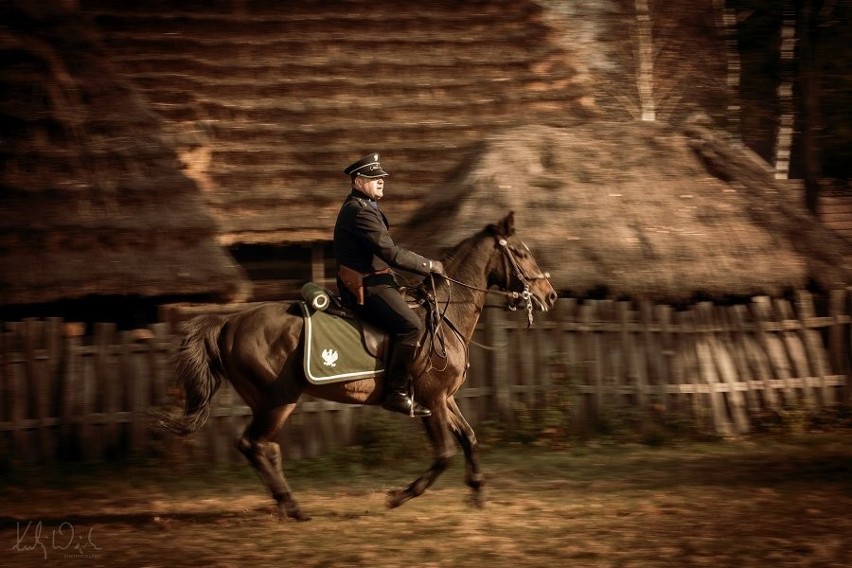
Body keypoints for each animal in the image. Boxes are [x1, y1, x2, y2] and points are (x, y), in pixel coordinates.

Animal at [160, 212, 560, 520]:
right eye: (521, 253)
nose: (550, 295)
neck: (446, 318)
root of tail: (230, 323)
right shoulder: (432, 400)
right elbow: (445, 453)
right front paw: (398, 496)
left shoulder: (445, 399)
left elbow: (469, 438)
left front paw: (477, 493)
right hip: (278, 400)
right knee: (252, 444)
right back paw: (291, 505)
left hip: (269, 403)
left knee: (265, 447)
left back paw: (290, 506)